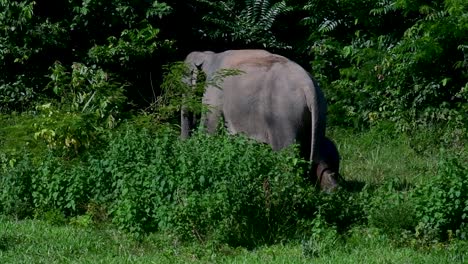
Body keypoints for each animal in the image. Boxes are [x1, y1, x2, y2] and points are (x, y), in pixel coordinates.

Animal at [182, 49, 340, 190]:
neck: (209, 55)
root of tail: (309, 87)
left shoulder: (214, 92)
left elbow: (209, 132)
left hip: (284, 118)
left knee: (287, 159)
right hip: (319, 117)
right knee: (321, 160)